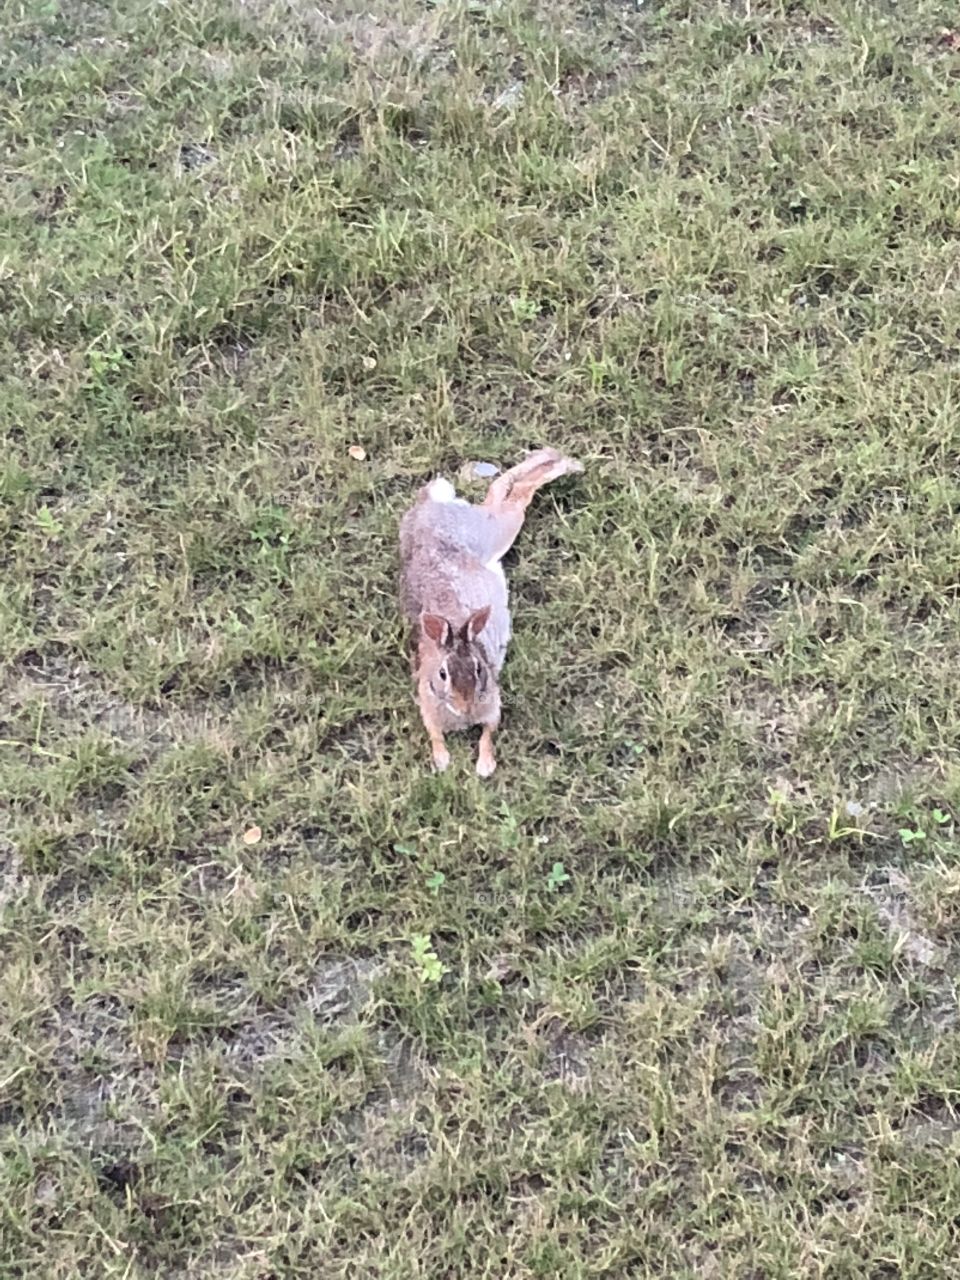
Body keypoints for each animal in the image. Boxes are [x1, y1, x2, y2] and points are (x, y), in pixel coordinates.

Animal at [400, 447, 583, 776]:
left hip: (493, 531)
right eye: (442, 674)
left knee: (513, 494)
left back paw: (563, 462)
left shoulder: (492, 705)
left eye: (478, 669)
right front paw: (442, 761)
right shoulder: (427, 705)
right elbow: (434, 734)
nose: (465, 706)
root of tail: (430, 503)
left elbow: (488, 732)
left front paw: (484, 767)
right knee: (501, 492)